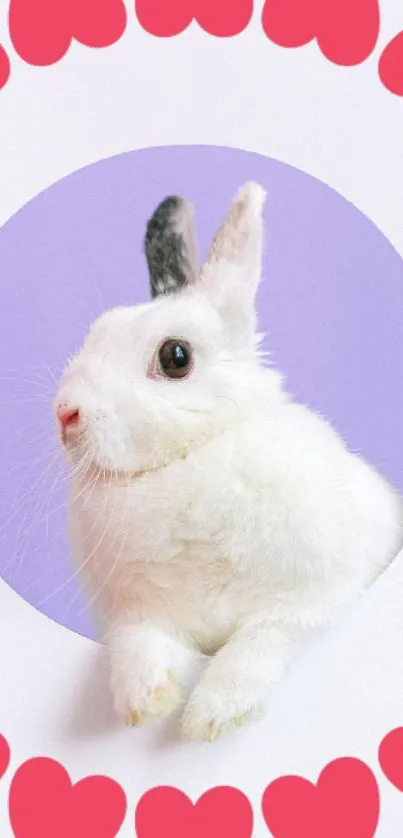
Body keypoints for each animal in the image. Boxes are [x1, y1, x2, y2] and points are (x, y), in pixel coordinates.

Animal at [55, 184, 402, 740]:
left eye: (176, 357)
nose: (65, 413)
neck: (189, 459)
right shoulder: (136, 612)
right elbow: (140, 645)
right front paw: (144, 702)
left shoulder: (316, 596)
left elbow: (259, 644)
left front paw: (210, 716)